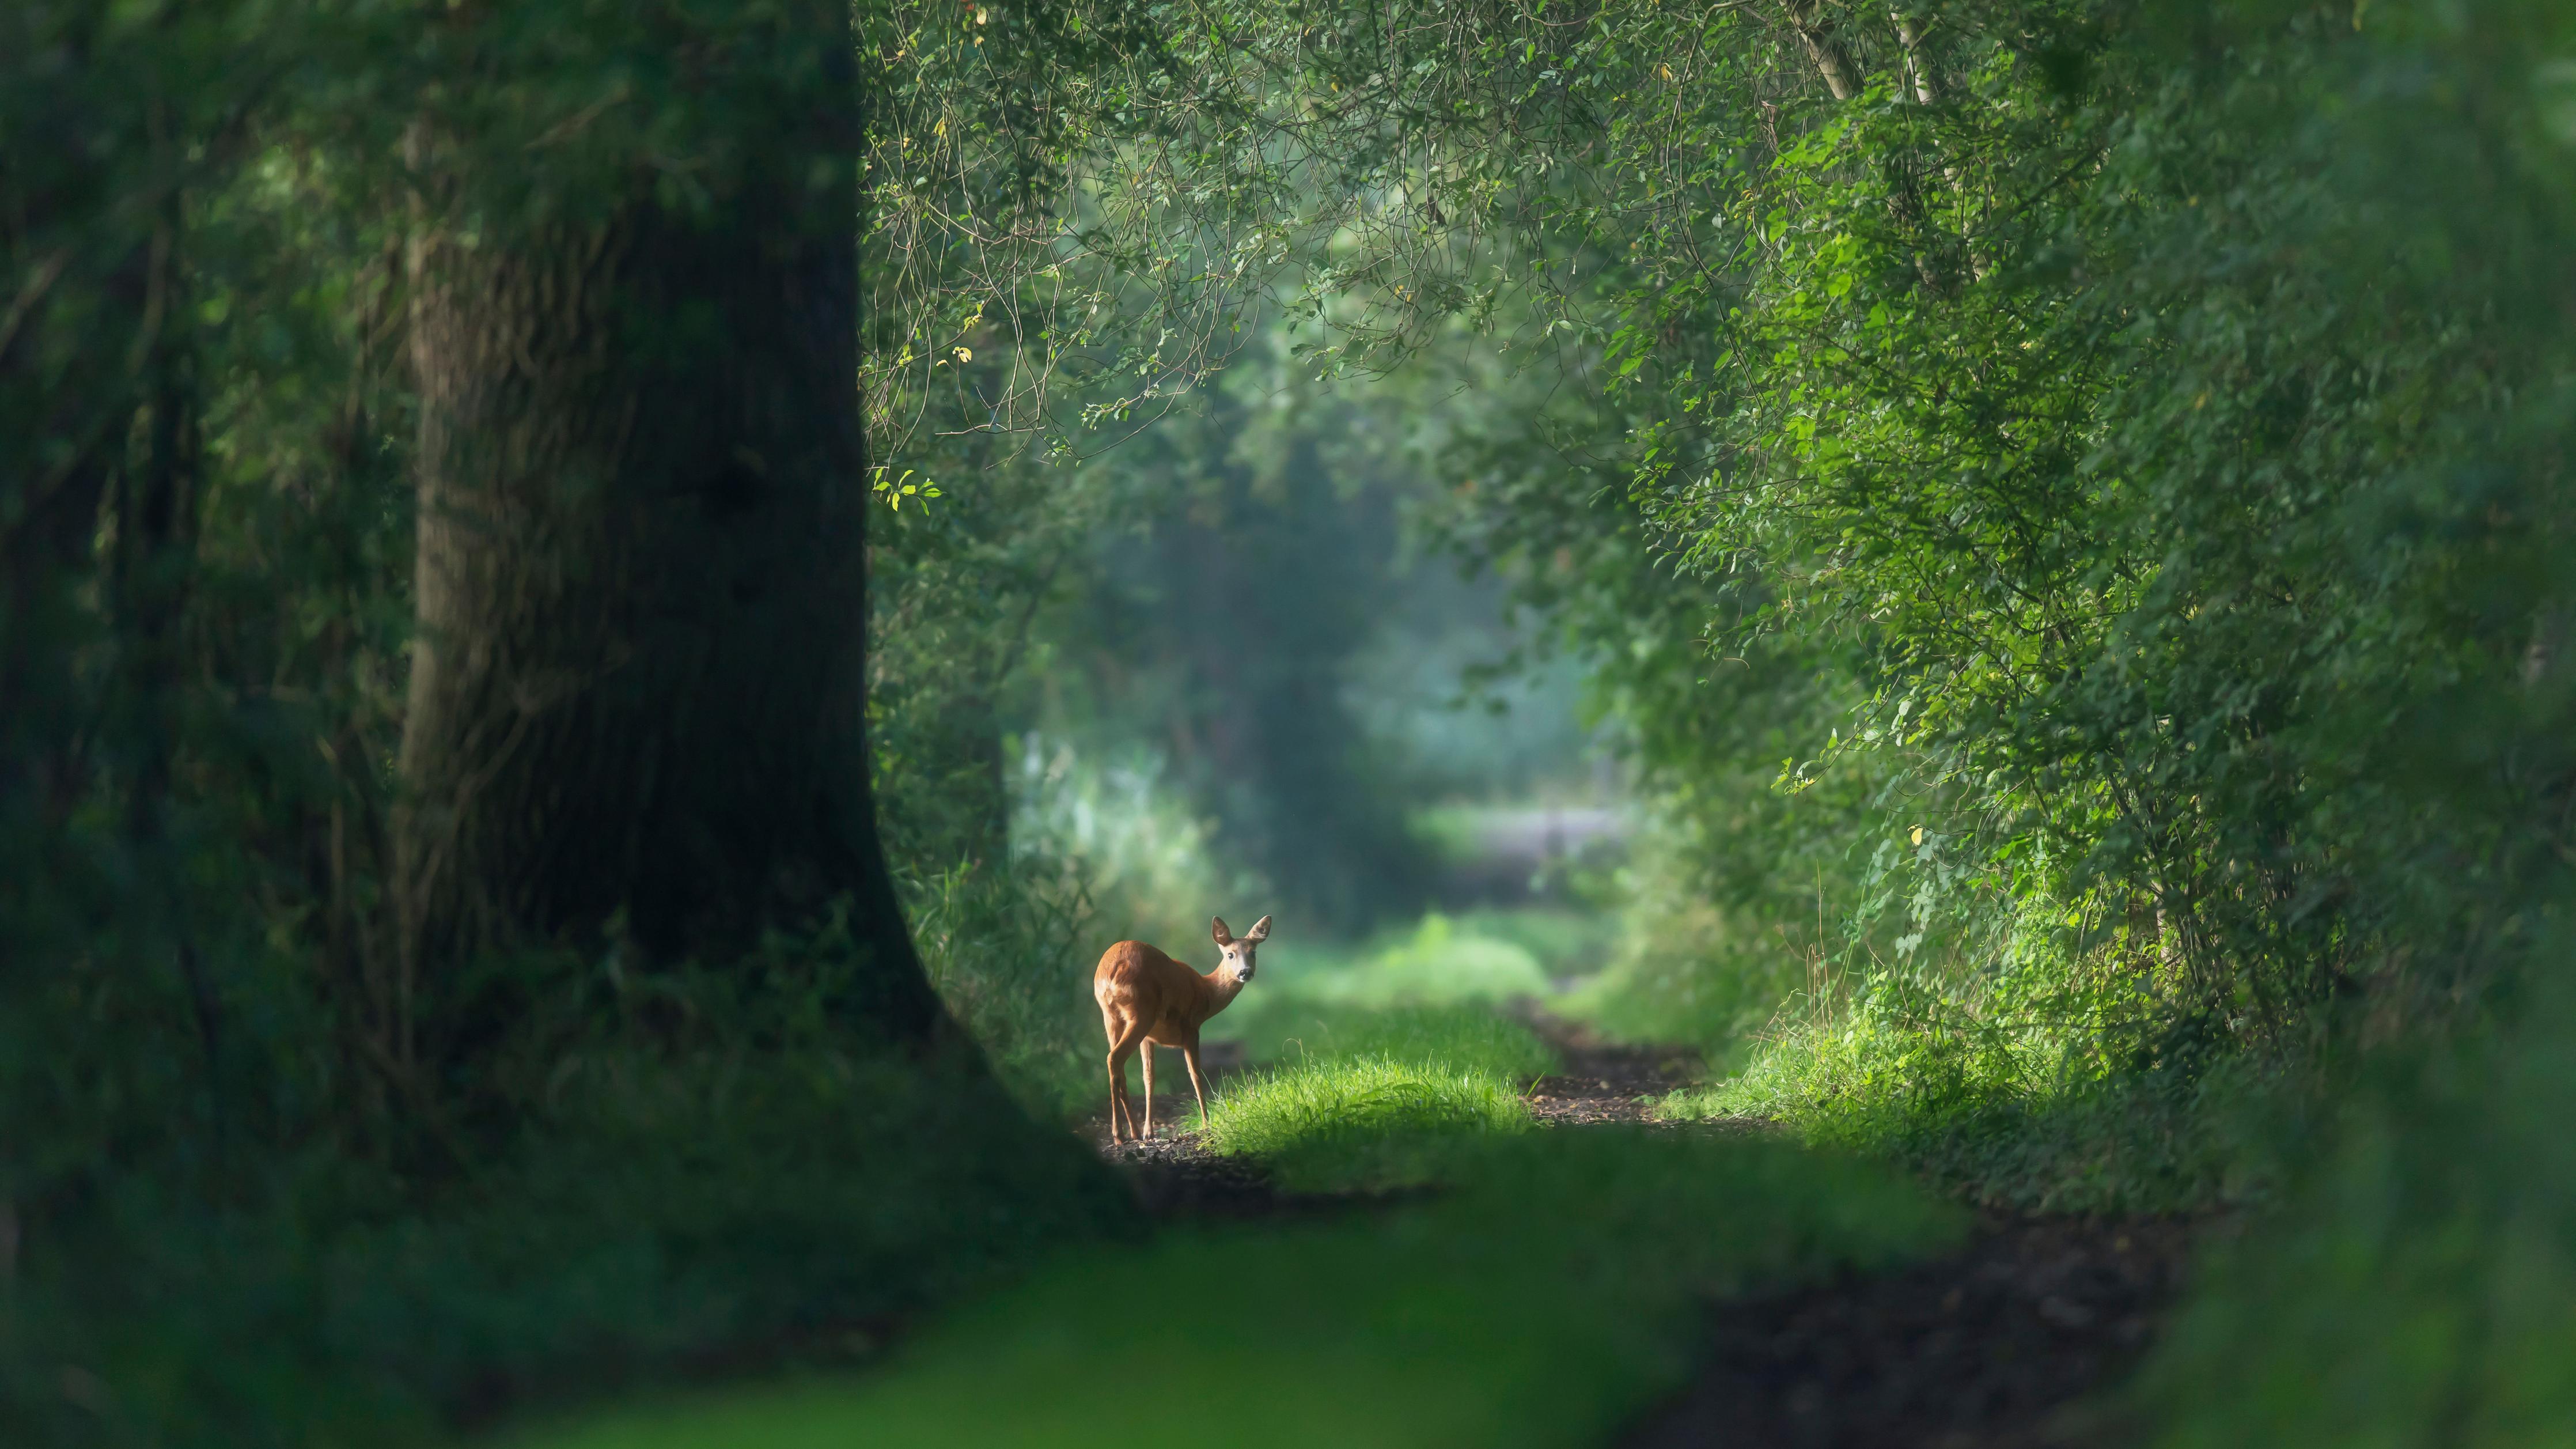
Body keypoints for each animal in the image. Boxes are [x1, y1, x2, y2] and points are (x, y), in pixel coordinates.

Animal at [1092, 913, 1272, 1139]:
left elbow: (1149, 1077)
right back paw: (1119, 1134)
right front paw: (1206, 1124)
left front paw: (1149, 1132)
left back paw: (1134, 1132)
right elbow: (1196, 1075)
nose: (1245, 972)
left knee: (1118, 1065)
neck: (1206, 992)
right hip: (1141, 1012)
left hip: (1111, 1016)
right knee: (1114, 1058)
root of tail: (1114, 968)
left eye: (1253, 953)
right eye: (1231, 954)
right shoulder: (1191, 1029)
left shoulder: (1149, 1038)